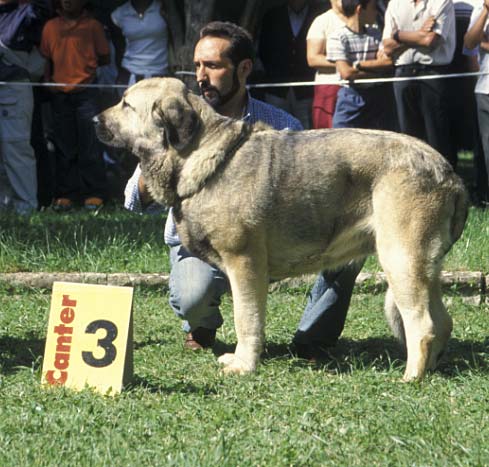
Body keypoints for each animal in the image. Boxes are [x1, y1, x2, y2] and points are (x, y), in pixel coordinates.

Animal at [94, 77, 466, 382]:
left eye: (126, 104)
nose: (95, 120)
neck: (199, 153)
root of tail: (447, 171)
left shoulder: (244, 265)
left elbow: (246, 318)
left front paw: (243, 364)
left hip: (400, 260)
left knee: (423, 324)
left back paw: (411, 376)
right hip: (422, 268)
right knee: (442, 321)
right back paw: (431, 367)